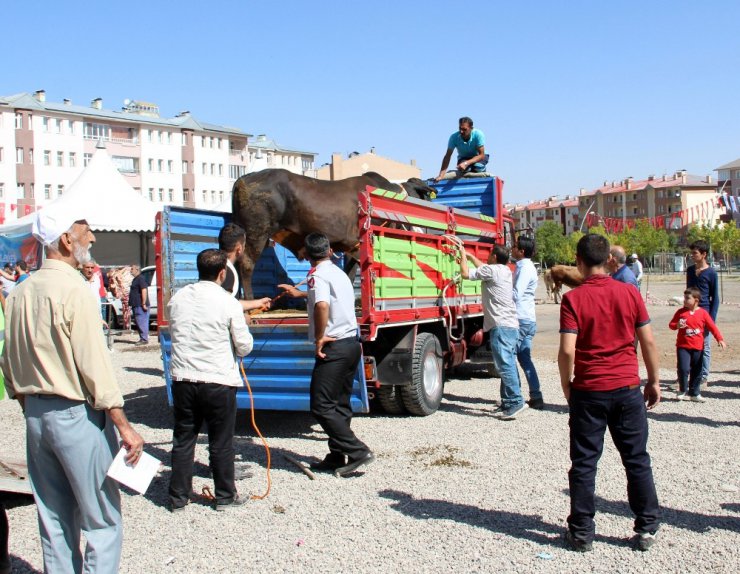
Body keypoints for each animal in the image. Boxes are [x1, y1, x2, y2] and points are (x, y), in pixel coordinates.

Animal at [234, 169, 436, 300]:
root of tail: (244, 178)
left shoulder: (351, 246)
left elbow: (349, 273)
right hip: (257, 232)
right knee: (246, 264)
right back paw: (250, 301)